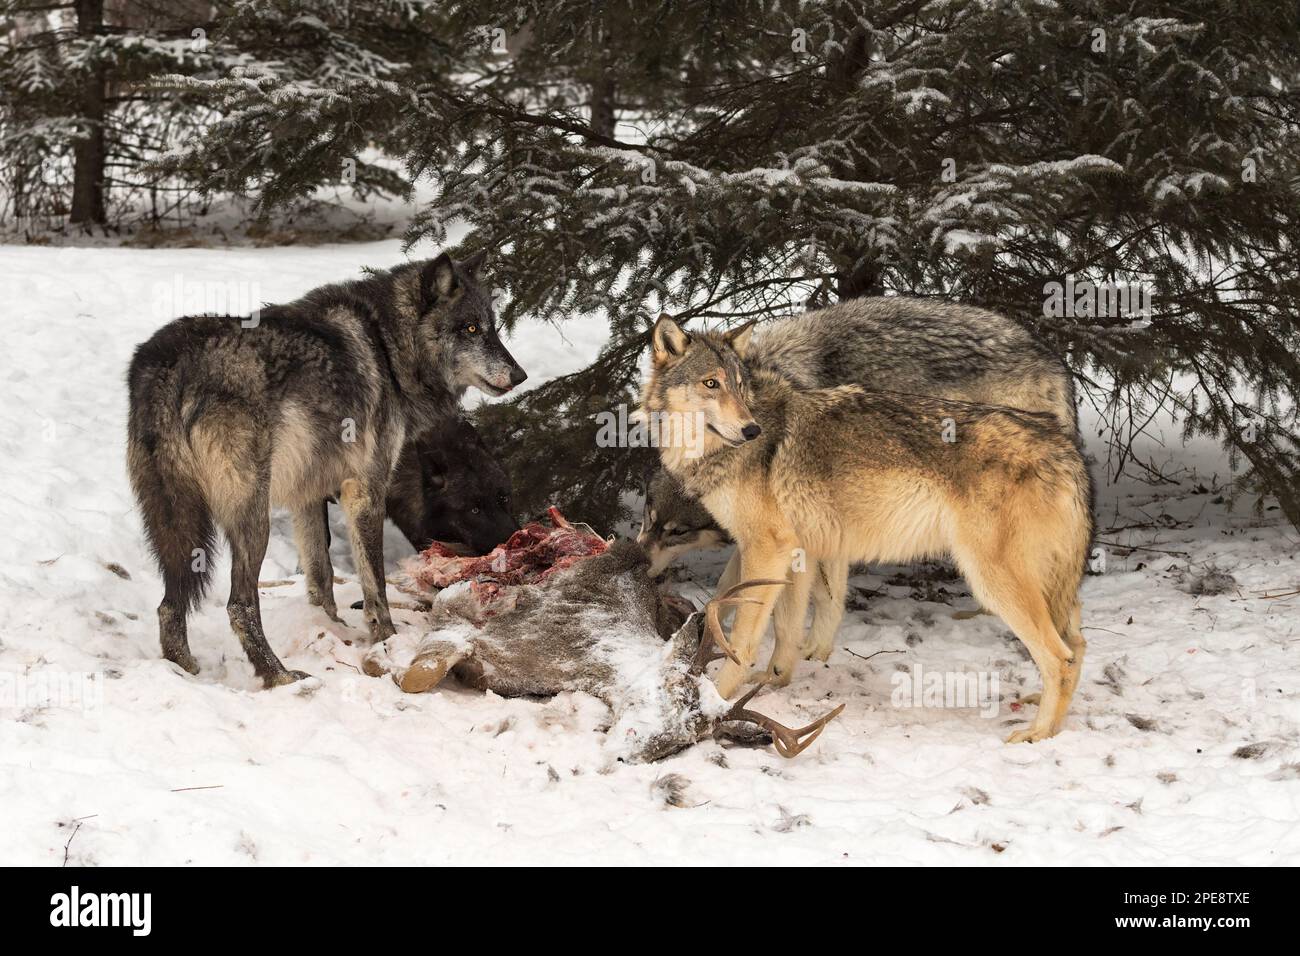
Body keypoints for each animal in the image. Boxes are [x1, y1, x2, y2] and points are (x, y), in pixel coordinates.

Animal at [127, 252, 526, 687]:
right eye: (470, 328)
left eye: (493, 328)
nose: (520, 375)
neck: (389, 348)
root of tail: (169, 361)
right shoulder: (366, 492)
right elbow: (375, 585)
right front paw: (386, 641)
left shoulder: (307, 496)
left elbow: (321, 578)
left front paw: (330, 627)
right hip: (252, 518)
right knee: (239, 605)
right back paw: (278, 676)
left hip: (175, 518)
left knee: (169, 605)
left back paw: (182, 669)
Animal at [642, 315, 1093, 742]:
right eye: (711, 383)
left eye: (738, 386)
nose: (751, 429)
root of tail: (1063, 445)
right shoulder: (797, 550)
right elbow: (788, 630)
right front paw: (773, 681)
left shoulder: (764, 548)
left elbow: (741, 638)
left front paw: (717, 700)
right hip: (1047, 583)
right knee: (1078, 644)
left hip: (993, 582)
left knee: (1061, 657)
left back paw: (1039, 734)